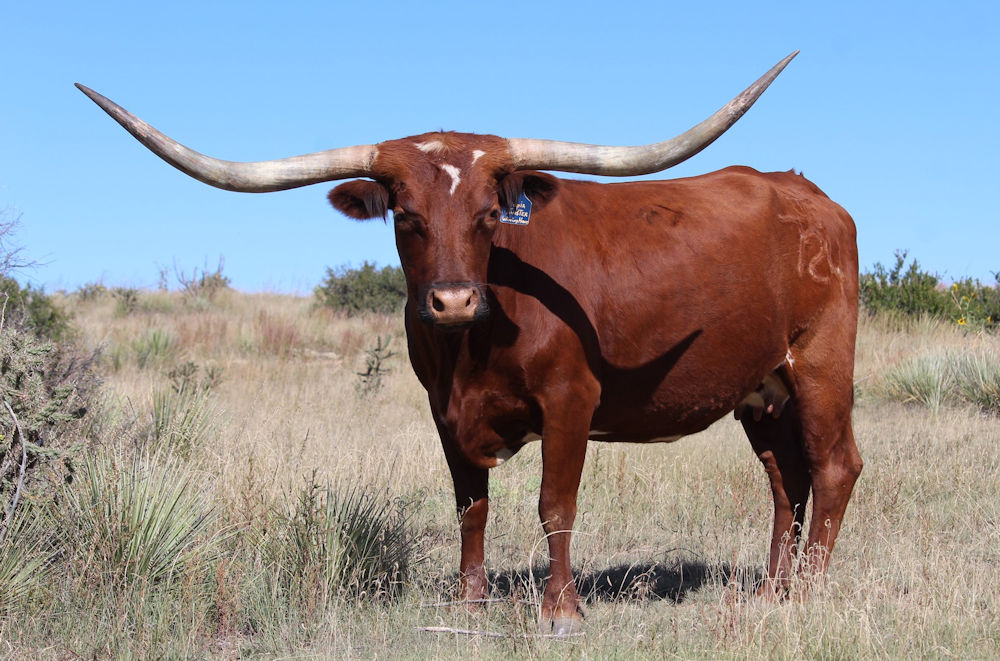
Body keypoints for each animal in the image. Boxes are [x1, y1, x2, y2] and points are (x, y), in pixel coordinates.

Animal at [77, 51, 862, 634]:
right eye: (405, 216)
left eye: (490, 213)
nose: (452, 299)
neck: (472, 348)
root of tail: (807, 192)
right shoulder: (441, 409)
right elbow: (470, 504)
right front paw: (470, 599)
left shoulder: (571, 400)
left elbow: (554, 503)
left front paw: (561, 611)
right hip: (761, 389)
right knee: (785, 480)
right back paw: (771, 591)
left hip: (821, 363)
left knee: (834, 467)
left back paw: (811, 592)